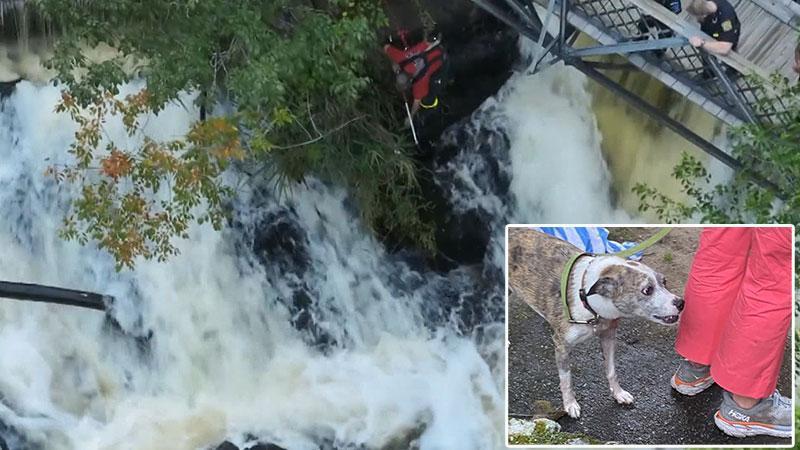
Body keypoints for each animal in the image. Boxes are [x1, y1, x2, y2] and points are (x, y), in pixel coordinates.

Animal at [508, 228, 684, 418]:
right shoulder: (561, 345)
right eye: (647, 290)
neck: (588, 296)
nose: (681, 303)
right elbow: (566, 380)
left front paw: (618, 394)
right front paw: (570, 404)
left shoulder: (608, 335)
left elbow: (612, 370)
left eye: (664, 282)